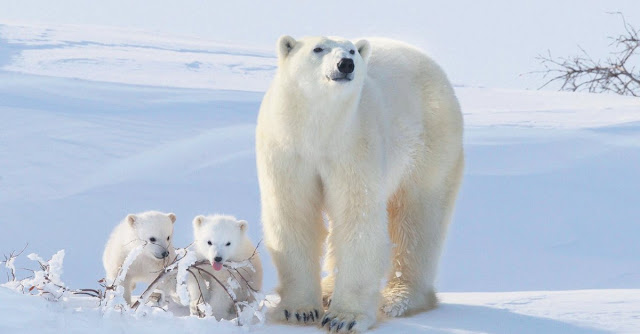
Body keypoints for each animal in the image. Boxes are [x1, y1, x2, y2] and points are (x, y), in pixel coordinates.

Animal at [256, 35, 464, 332]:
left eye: (352, 50)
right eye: (318, 48)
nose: (345, 64)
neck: (319, 130)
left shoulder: (354, 144)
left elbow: (356, 217)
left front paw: (343, 318)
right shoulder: (288, 149)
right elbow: (294, 213)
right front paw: (299, 310)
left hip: (431, 142)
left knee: (419, 218)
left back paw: (400, 297)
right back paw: (328, 290)